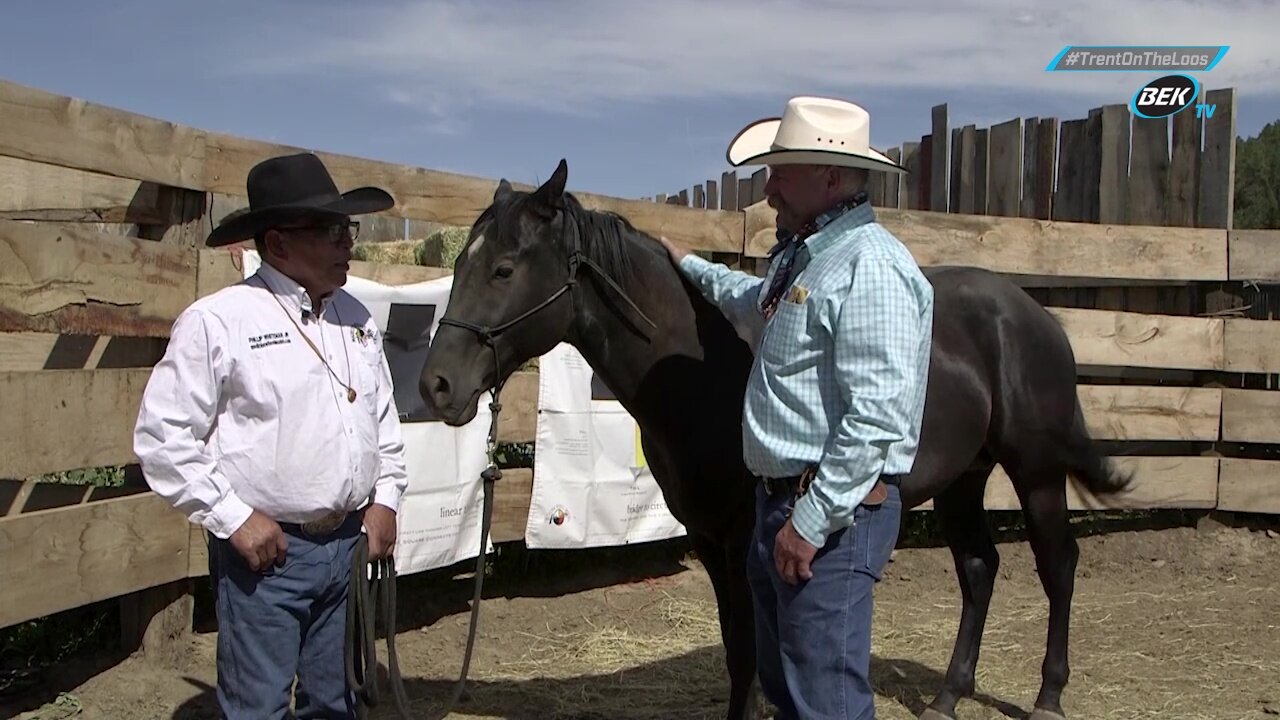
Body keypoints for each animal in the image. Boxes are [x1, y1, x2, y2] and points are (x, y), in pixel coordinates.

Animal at [417, 158, 1131, 717]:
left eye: (504, 269)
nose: (436, 386)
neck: (701, 370)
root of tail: (1034, 315)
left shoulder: (740, 541)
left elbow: (752, 655)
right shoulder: (710, 540)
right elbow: (740, 651)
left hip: (1036, 471)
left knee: (1058, 567)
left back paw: (1048, 698)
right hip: (964, 477)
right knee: (980, 569)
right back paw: (948, 697)